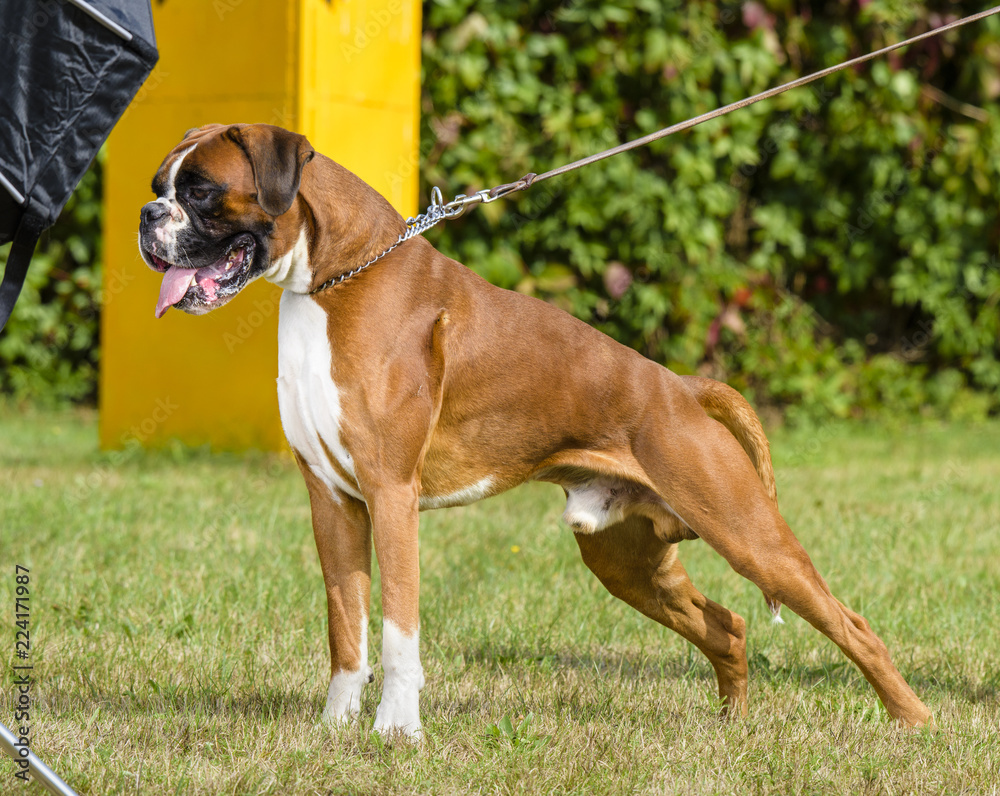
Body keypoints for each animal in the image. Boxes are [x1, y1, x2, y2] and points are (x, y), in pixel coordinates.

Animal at [137, 124, 932, 740]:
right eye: (158, 184)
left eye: (200, 192)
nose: (147, 214)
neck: (335, 281)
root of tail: (680, 386)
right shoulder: (333, 503)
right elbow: (346, 627)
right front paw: (335, 729)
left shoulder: (391, 496)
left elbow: (396, 631)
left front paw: (397, 731)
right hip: (628, 563)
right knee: (728, 625)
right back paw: (733, 723)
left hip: (749, 535)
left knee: (851, 625)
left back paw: (914, 724)